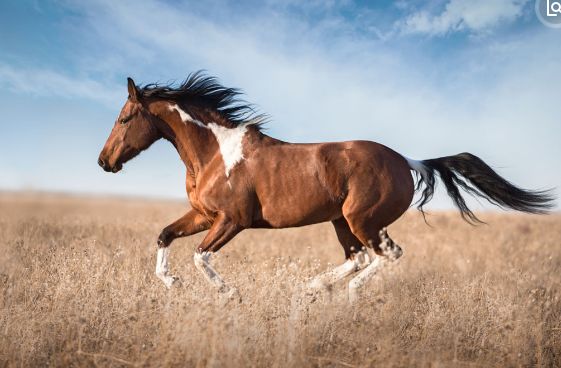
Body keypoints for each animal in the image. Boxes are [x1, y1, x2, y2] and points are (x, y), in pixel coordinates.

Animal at [98, 72, 552, 302]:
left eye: (124, 118)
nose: (104, 162)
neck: (215, 153)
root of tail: (408, 161)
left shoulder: (232, 219)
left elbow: (200, 256)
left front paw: (229, 293)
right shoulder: (203, 214)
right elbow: (164, 236)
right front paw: (171, 283)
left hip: (361, 219)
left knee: (385, 255)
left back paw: (345, 294)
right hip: (341, 222)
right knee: (359, 257)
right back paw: (314, 287)